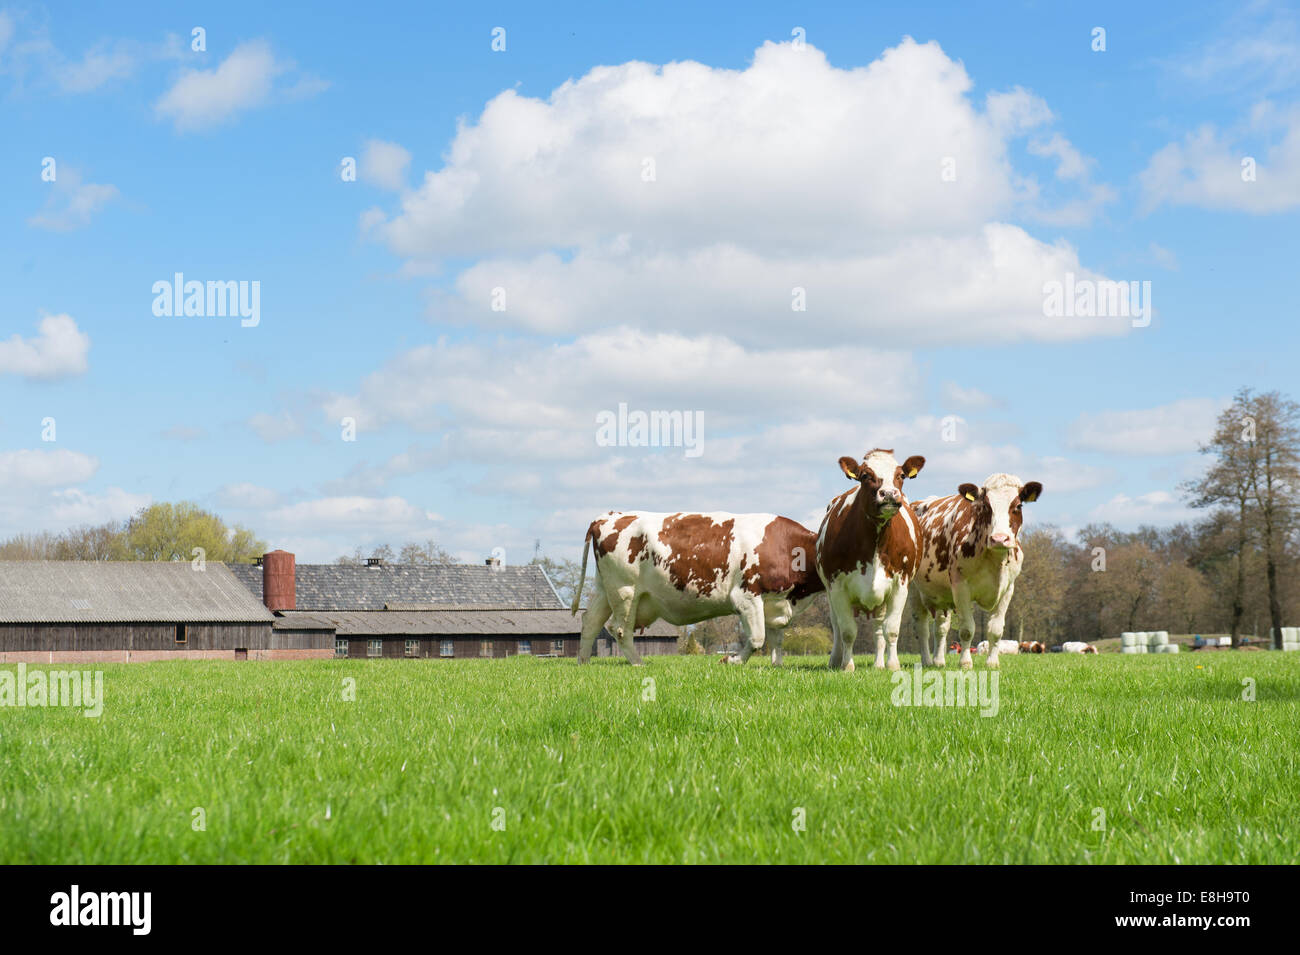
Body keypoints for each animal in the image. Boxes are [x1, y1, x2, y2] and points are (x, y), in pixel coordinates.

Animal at [572, 514, 816, 665]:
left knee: (591, 621)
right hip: (625, 591)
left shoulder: (775, 601)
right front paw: (732, 660)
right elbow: (757, 638)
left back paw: (584, 661)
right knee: (620, 629)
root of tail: (609, 516)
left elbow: (776, 640)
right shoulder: (747, 597)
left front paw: (777, 665)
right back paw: (638, 664)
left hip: (605, 590)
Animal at [811, 449, 925, 670]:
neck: (875, 542)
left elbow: (891, 629)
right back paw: (835, 661)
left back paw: (879, 664)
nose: (888, 494)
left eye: (901, 475)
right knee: (836, 626)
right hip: (829, 593)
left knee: (878, 629)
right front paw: (847, 666)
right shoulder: (837, 587)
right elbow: (847, 631)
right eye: (865, 475)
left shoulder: (900, 585)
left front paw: (892, 665)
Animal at [915, 472, 1045, 670]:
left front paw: (992, 662)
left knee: (940, 628)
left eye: (1018, 505)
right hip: (913, 591)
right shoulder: (961, 587)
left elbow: (996, 630)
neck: (995, 560)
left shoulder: (1008, 589)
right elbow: (967, 629)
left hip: (942, 596)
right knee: (922, 628)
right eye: (986, 506)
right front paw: (965, 663)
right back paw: (926, 660)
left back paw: (938, 661)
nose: (999, 538)